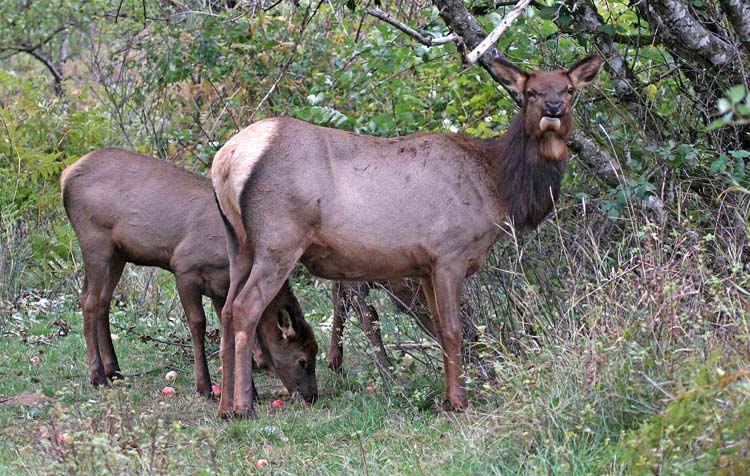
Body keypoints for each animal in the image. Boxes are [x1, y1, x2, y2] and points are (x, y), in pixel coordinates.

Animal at [58, 150, 318, 402]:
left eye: (316, 351)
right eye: (302, 360)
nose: (311, 396)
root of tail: (65, 176)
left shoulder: (220, 289)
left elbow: (229, 331)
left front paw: (249, 392)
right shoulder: (184, 268)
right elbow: (198, 324)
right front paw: (204, 388)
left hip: (117, 254)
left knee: (103, 301)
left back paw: (114, 370)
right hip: (94, 241)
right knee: (89, 301)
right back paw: (98, 376)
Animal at [212, 54, 604, 414]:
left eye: (569, 90)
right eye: (530, 92)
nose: (553, 109)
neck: (497, 187)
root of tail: (226, 158)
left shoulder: (425, 266)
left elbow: (441, 330)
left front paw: (447, 397)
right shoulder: (449, 252)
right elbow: (454, 329)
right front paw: (459, 402)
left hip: (239, 243)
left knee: (227, 309)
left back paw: (225, 407)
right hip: (278, 239)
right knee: (246, 307)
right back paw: (244, 406)